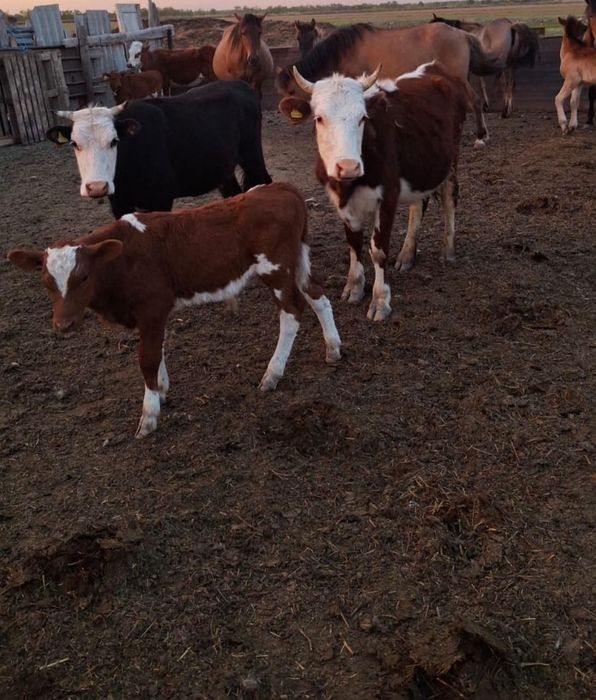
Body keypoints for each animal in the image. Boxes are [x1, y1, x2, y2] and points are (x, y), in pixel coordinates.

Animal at [7, 183, 342, 438]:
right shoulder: (152, 314)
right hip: (298, 262)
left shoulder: (152, 307)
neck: (122, 259)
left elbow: (147, 358)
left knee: (292, 313)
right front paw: (161, 389)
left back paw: (272, 373)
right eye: (46, 281)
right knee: (318, 296)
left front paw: (149, 415)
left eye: (84, 276)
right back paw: (333, 348)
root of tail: (281, 188)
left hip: (276, 270)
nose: (63, 324)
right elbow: (158, 352)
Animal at [46, 81, 272, 219]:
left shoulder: (160, 199)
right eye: (74, 144)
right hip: (223, 167)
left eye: (114, 141)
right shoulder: (119, 203)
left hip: (252, 155)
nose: (96, 187)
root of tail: (239, 84)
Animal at [279, 62, 471, 321]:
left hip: (451, 158)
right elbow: (354, 242)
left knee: (450, 197)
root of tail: (435, 68)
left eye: (363, 118)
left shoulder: (388, 196)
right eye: (319, 118)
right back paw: (407, 255)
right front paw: (354, 287)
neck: (349, 184)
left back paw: (448, 251)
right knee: (417, 205)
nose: (348, 166)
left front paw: (380, 301)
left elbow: (378, 249)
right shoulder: (341, 202)